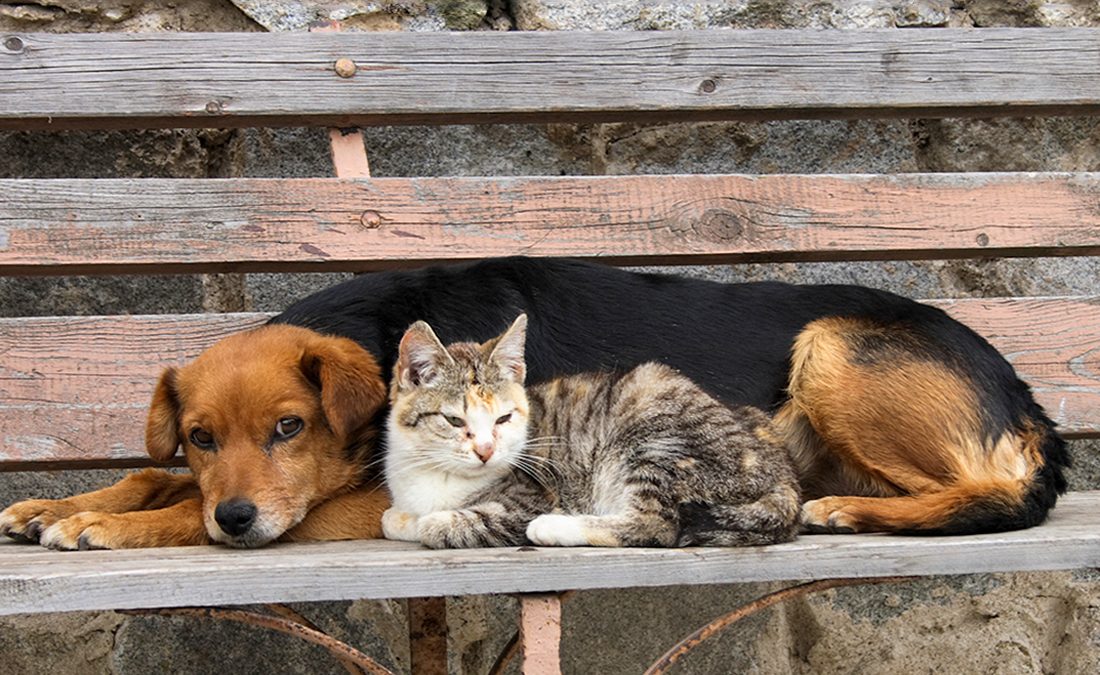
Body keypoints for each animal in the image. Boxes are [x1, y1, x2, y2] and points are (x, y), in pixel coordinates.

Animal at [382, 316, 805, 549]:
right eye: (455, 421)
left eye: (503, 419)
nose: (486, 450)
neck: (435, 474)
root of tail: (785, 480)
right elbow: (393, 518)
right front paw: (402, 517)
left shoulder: (529, 496)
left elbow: (440, 524)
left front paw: (428, 521)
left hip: (655, 435)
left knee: (655, 525)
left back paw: (554, 528)